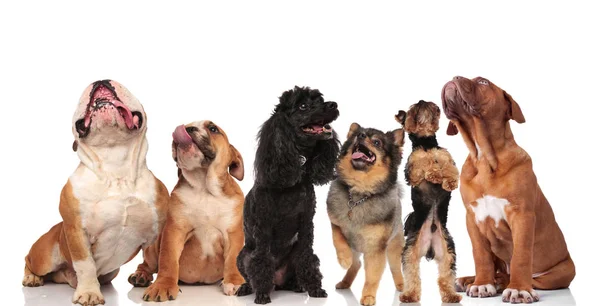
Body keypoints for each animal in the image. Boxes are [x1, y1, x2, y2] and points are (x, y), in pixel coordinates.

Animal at [22, 80, 169, 304]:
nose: (100, 80)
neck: (115, 166)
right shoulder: (77, 231)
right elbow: (86, 265)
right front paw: (90, 292)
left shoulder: (155, 234)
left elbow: (157, 258)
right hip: (44, 256)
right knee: (29, 261)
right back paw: (31, 278)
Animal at [129, 120, 246, 300]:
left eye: (213, 129)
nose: (188, 128)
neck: (204, 188)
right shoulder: (174, 231)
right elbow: (168, 260)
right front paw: (163, 285)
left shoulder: (233, 233)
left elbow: (234, 258)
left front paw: (234, 281)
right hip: (154, 247)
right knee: (147, 264)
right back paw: (140, 276)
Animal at [442, 76, 576, 304]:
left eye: (483, 82)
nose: (453, 78)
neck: (483, 157)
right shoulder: (472, 218)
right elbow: (481, 255)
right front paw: (481, 283)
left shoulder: (522, 216)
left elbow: (520, 256)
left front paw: (519, 290)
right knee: (499, 269)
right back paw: (471, 280)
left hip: (562, 271)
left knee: (521, 276)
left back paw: (505, 283)